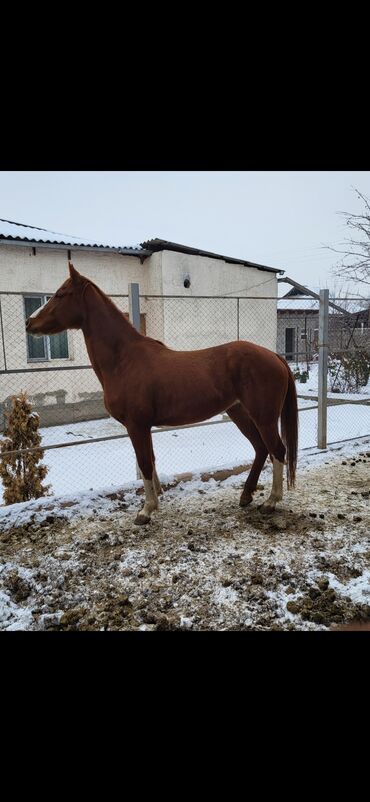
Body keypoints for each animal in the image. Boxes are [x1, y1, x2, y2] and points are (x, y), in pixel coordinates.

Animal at [26, 262, 298, 524]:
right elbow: (152, 460)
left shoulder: (136, 425)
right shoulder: (143, 426)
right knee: (261, 448)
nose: (29, 322)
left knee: (277, 450)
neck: (124, 359)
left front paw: (146, 511)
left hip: (263, 417)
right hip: (239, 412)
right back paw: (246, 495)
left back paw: (271, 502)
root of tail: (274, 356)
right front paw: (156, 500)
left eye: (61, 294)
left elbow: (145, 463)